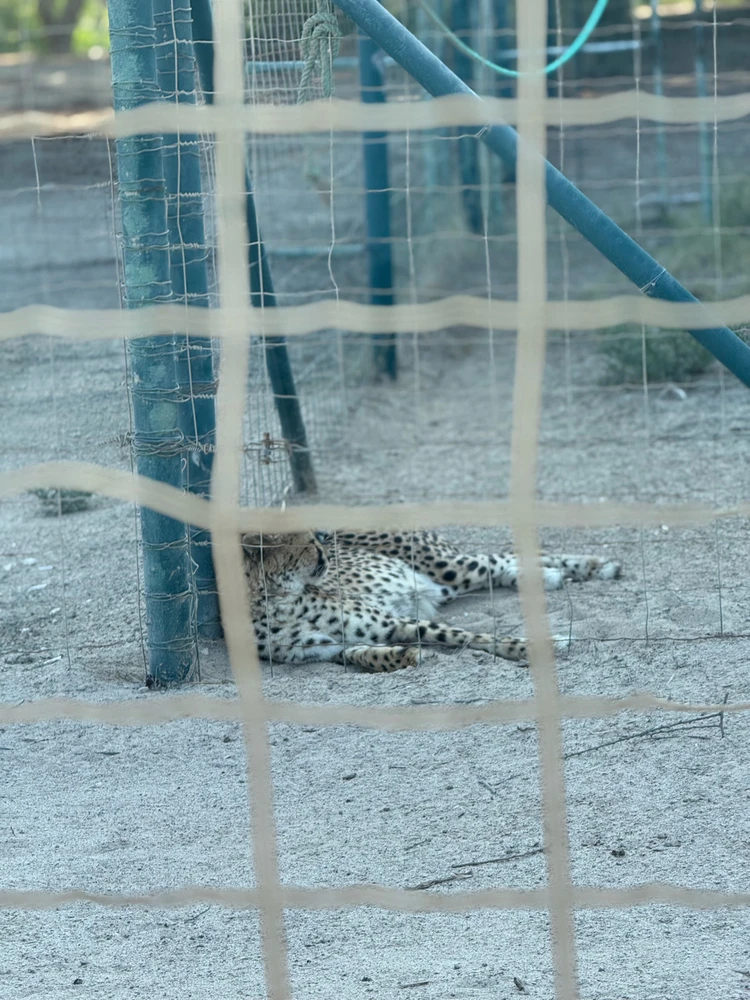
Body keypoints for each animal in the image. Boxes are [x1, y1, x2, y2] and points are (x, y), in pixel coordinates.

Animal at [241, 528, 621, 673]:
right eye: (304, 541)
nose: (322, 538)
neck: (277, 600)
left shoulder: (392, 621)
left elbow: (469, 635)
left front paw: (539, 646)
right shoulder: (331, 648)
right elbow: (363, 655)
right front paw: (405, 656)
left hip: (449, 567)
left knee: (497, 557)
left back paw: (595, 565)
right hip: (448, 582)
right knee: (506, 564)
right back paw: (552, 575)